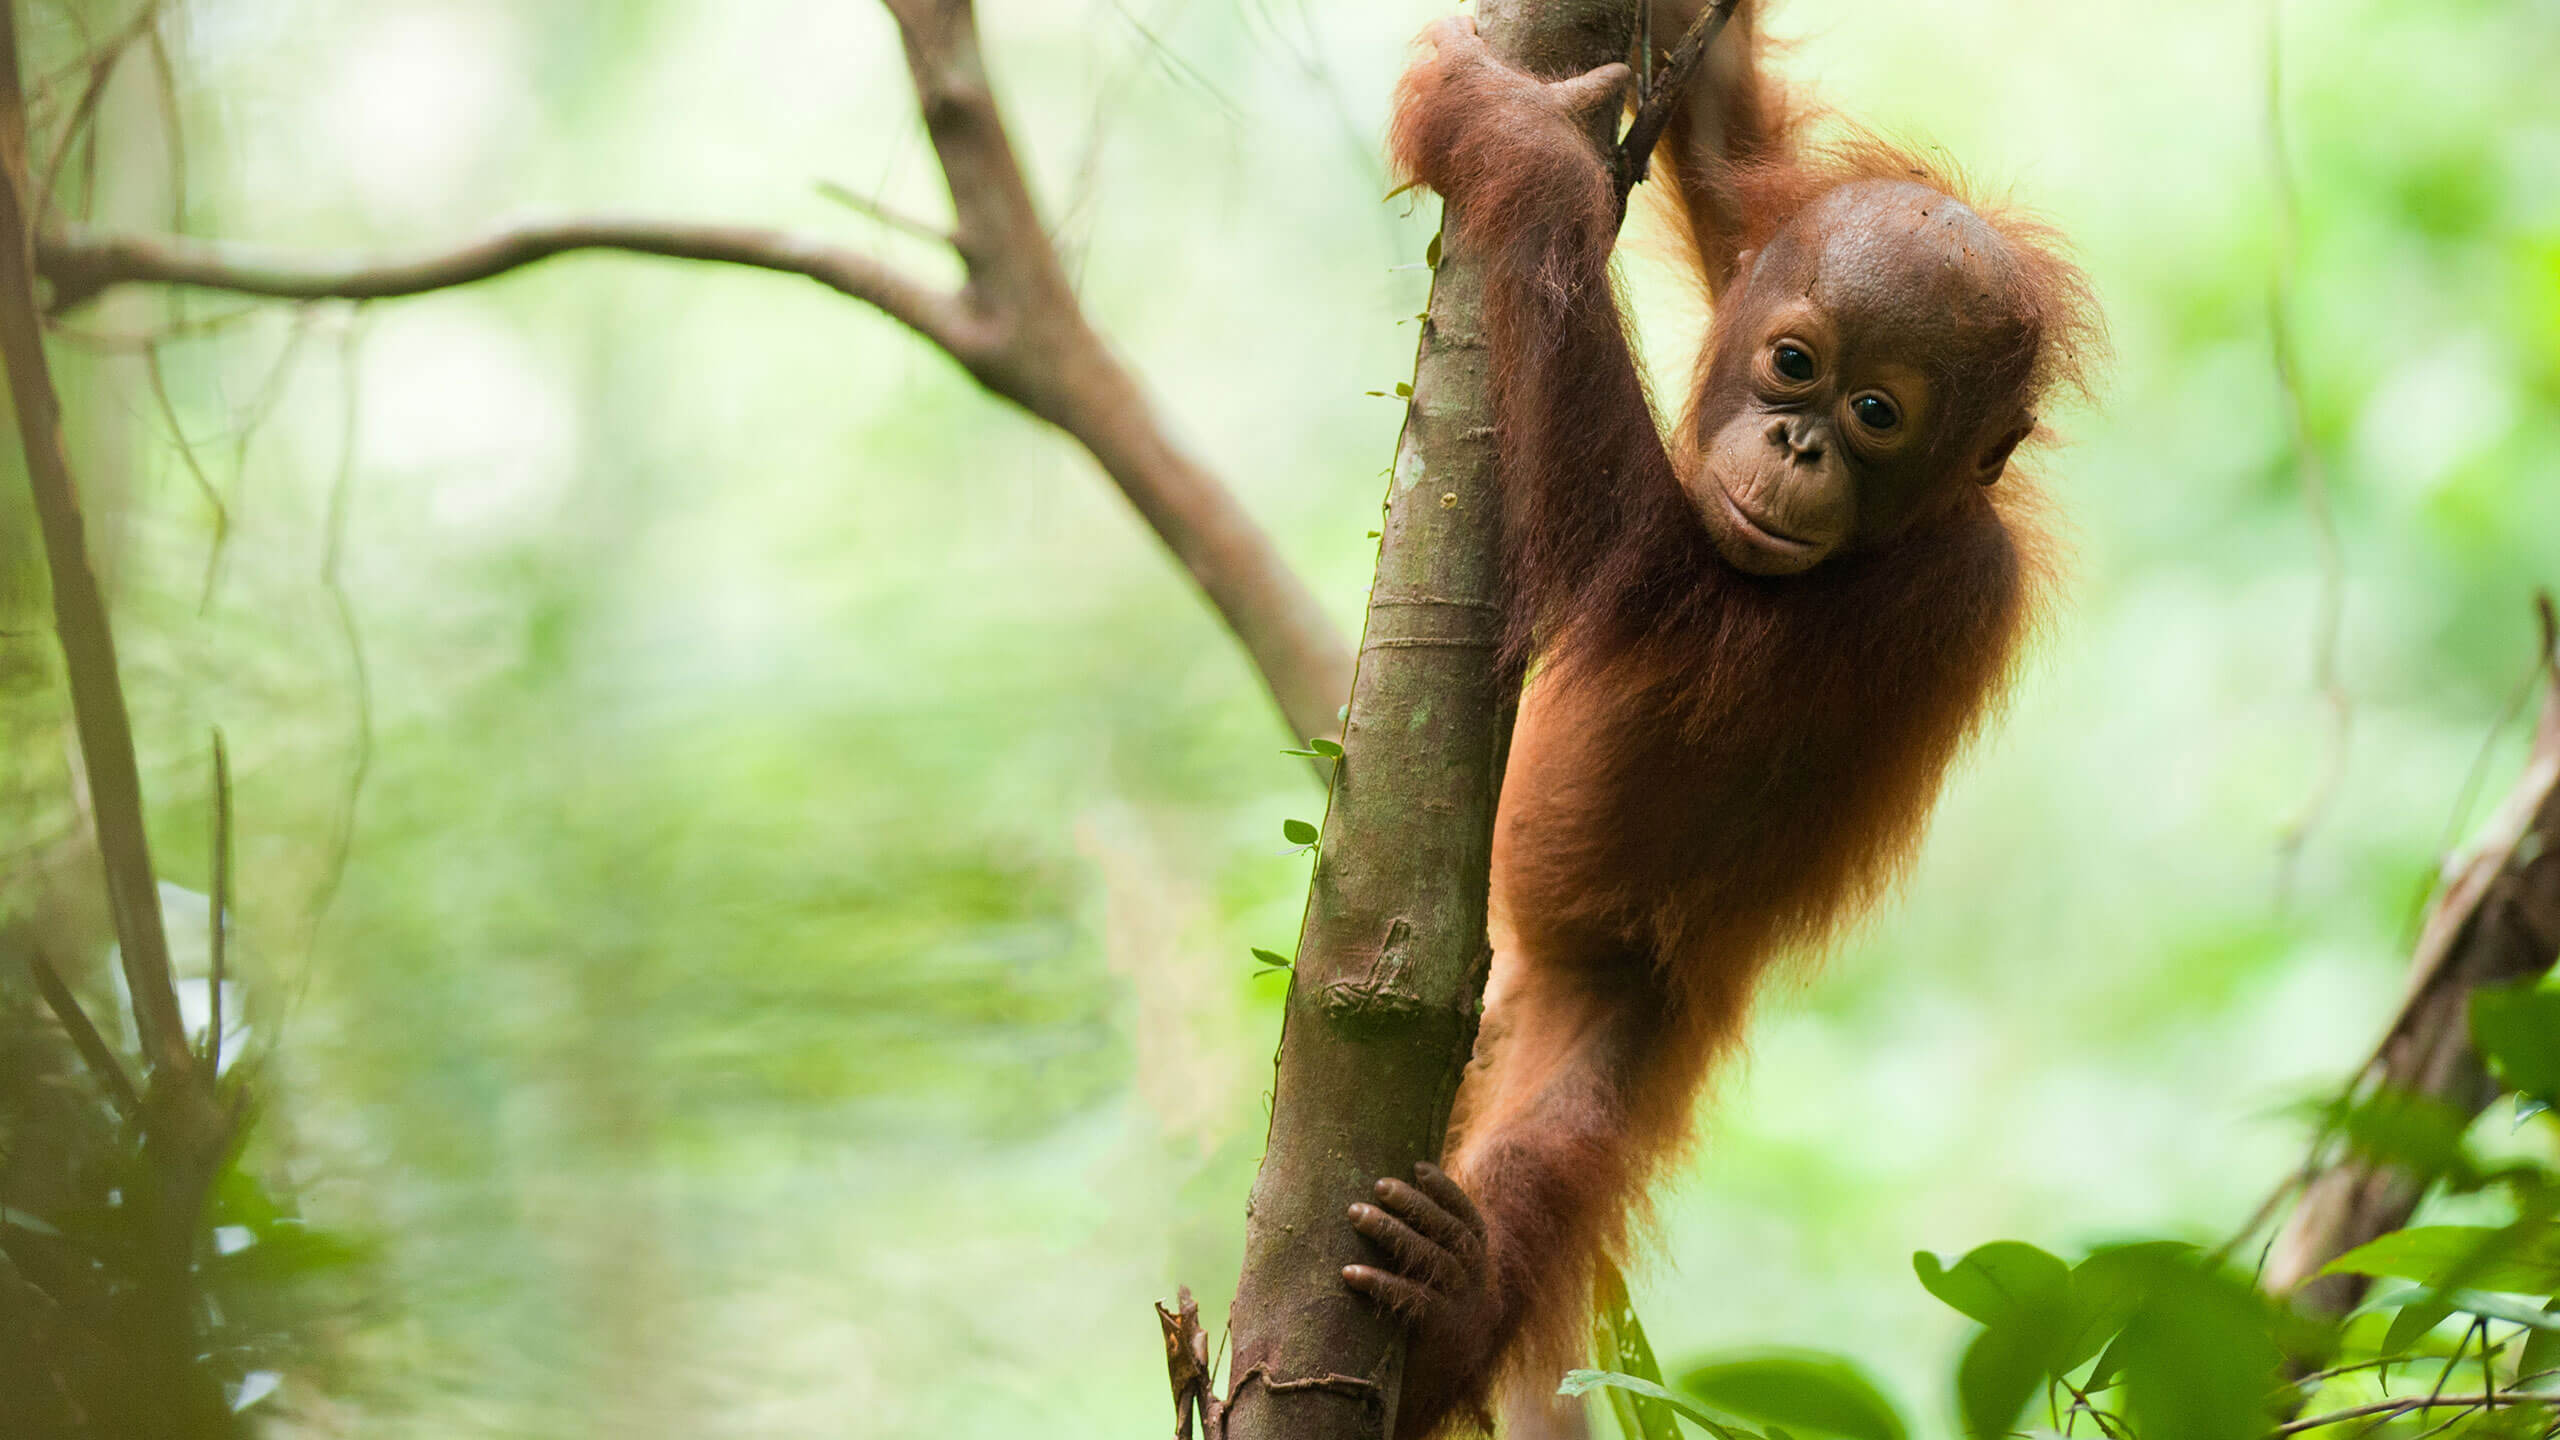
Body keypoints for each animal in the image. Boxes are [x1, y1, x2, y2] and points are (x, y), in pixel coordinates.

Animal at [1341, 6, 2101, 1436]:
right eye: (1792, 363)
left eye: (1876, 414)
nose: (1800, 448)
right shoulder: (1762, 222)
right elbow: (1721, 133)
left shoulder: (1912, 602)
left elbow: (1633, 569)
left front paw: (1526, 149)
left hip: (1640, 1006)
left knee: (1564, 1143)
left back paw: (1453, 1305)